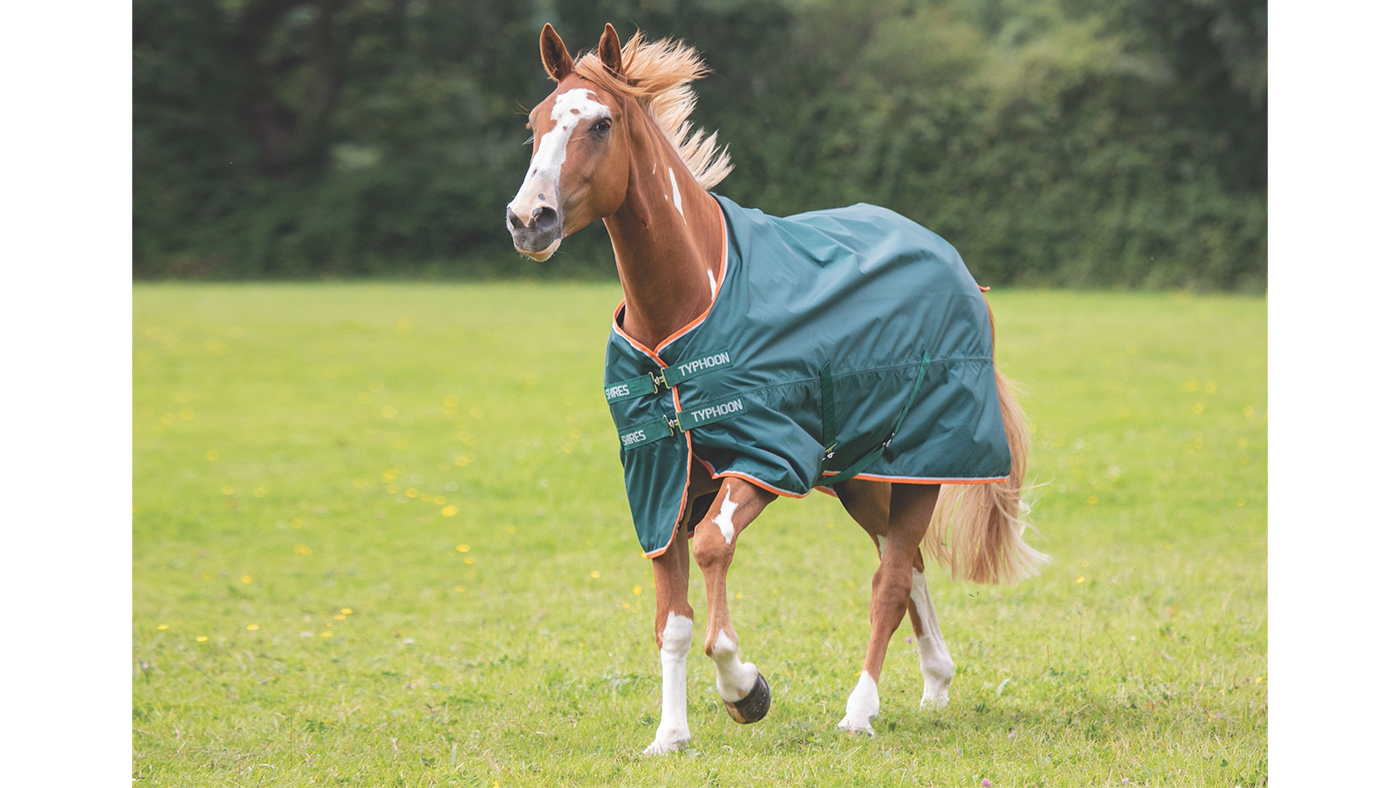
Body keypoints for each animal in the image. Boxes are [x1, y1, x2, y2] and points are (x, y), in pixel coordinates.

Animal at [506, 23, 1047, 754]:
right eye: (535, 124)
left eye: (601, 122)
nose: (528, 220)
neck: (688, 308)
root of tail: (964, 275)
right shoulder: (660, 478)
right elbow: (672, 620)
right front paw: (669, 735)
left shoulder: (765, 459)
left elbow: (713, 549)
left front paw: (745, 690)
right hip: (861, 477)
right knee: (906, 567)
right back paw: (936, 680)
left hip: (922, 469)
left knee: (890, 580)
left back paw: (860, 710)